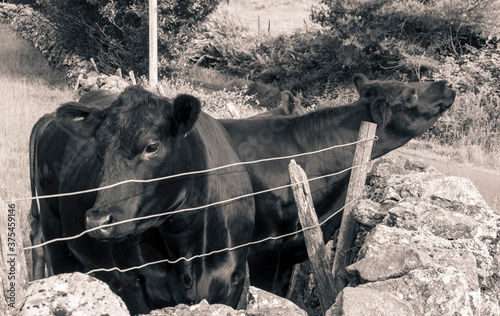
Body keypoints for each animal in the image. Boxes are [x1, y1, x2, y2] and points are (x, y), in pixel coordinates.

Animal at [28, 86, 254, 314]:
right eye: (99, 151)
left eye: (152, 147)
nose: (97, 221)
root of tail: (48, 118)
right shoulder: (131, 282)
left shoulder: (233, 282)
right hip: (54, 231)